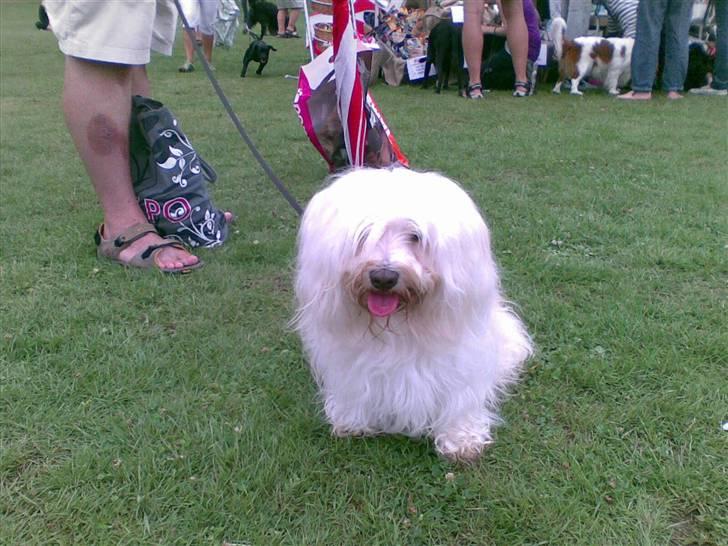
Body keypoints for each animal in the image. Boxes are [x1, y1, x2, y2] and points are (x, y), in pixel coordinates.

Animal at [292, 167, 536, 460]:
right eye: (364, 235)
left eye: (415, 237)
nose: (383, 277)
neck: (398, 326)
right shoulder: (350, 366)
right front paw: (351, 421)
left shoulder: (460, 365)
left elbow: (460, 399)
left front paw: (461, 439)